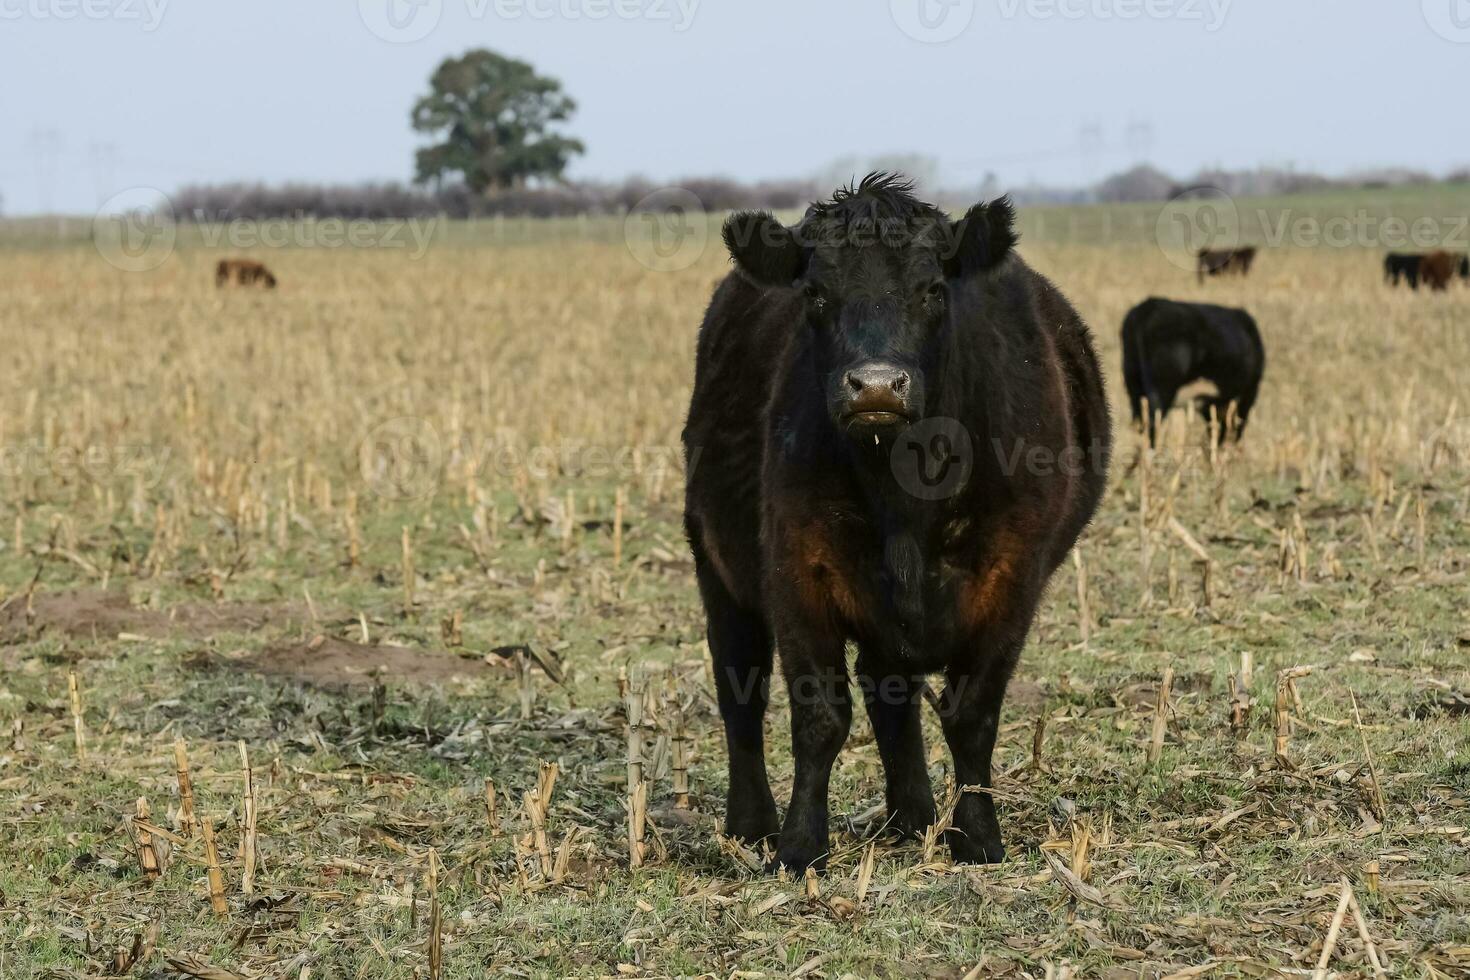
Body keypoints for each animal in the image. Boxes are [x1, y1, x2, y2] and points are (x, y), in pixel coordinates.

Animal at [682, 176, 1105, 875]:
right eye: (816, 293)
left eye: (932, 289)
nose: (877, 385)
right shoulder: (796, 574)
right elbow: (819, 717)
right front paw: (799, 846)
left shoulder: (1013, 580)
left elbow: (972, 716)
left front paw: (977, 837)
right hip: (716, 566)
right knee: (741, 690)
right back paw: (751, 824)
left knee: (890, 694)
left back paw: (914, 817)